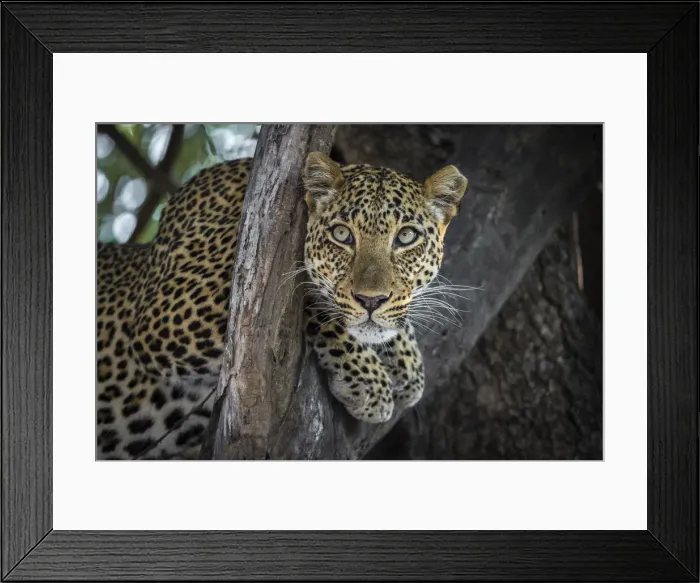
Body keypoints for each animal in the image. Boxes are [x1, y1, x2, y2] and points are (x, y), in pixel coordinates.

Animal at [96, 152, 468, 460]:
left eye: (406, 237)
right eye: (342, 235)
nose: (371, 300)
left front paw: (406, 360)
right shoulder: (171, 308)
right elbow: (307, 291)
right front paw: (369, 379)